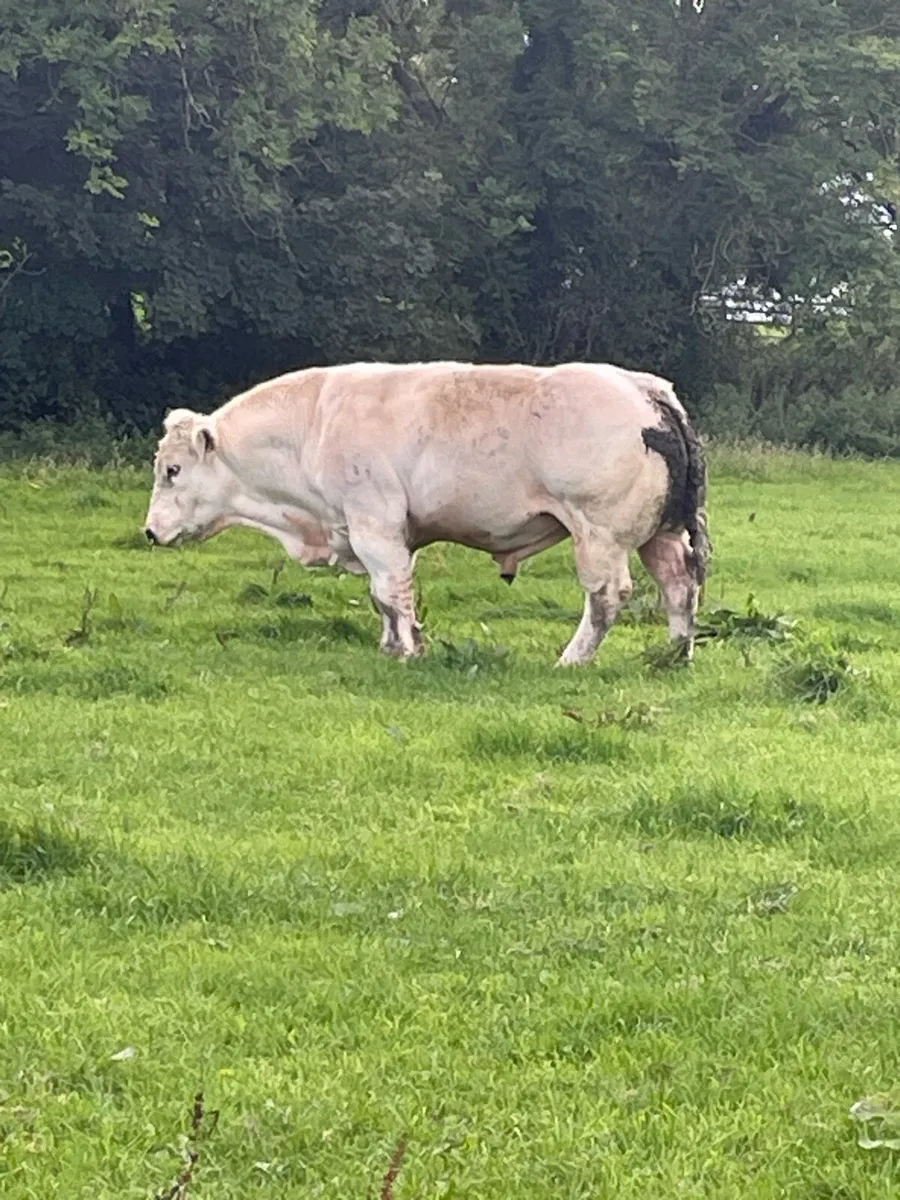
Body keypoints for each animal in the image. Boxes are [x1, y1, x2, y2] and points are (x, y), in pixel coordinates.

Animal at [144, 361, 711, 665]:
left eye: (172, 469)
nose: (149, 532)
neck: (313, 425)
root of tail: (646, 389)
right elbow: (386, 599)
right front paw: (392, 645)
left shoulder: (374, 526)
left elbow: (390, 593)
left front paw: (407, 650)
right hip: (659, 535)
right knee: (680, 587)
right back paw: (674, 655)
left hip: (598, 534)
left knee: (607, 597)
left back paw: (571, 659)